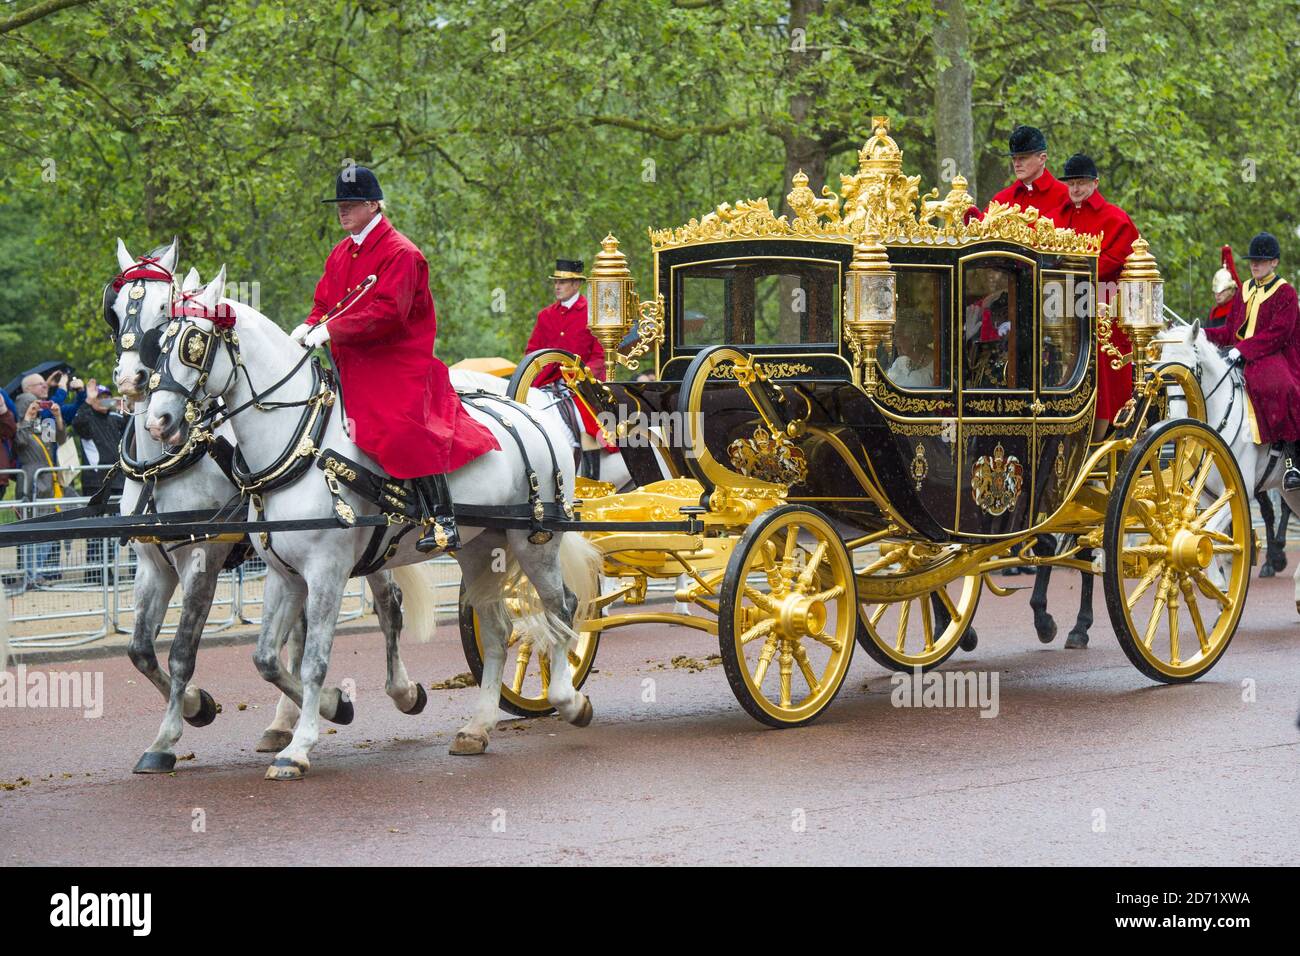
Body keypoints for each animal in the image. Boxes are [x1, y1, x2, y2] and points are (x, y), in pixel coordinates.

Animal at [142, 267, 598, 780]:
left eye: (193, 343)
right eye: (159, 342)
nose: (158, 422)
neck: (300, 444)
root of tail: (536, 415)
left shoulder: (326, 572)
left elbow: (313, 661)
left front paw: (299, 746)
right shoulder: (284, 574)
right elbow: (266, 659)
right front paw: (333, 707)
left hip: (535, 540)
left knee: (561, 608)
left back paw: (568, 699)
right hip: (483, 548)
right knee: (500, 632)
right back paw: (477, 728)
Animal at [1159, 321, 1300, 606]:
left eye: (1191, 368)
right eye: (1163, 373)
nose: (1176, 419)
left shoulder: (1240, 493)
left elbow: (1210, 534)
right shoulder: (1206, 498)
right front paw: (1220, 585)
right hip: (1290, 493)